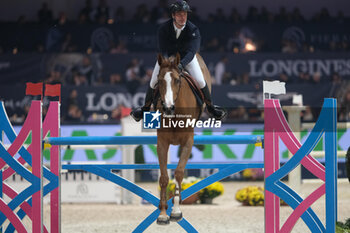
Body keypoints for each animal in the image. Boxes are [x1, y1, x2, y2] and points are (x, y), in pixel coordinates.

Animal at [155, 52, 211, 224]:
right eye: (159, 81)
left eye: (177, 80)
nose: (167, 108)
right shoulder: (162, 143)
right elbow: (164, 177)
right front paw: (163, 213)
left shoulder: (188, 142)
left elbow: (179, 173)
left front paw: (176, 211)